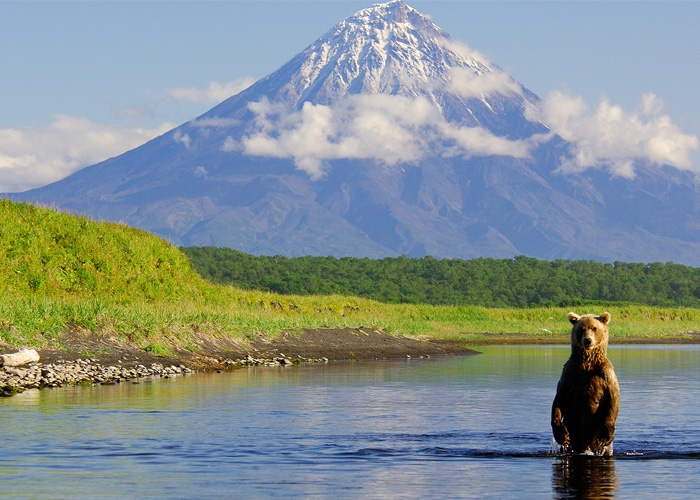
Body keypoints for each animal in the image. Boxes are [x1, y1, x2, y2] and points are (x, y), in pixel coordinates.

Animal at [548, 314, 620, 456]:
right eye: (581, 329)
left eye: (594, 328)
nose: (588, 341)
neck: (587, 364)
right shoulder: (569, 374)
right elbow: (559, 400)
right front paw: (562, 435)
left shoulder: (606, 375)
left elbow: (613, 398)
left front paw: (605, 436)